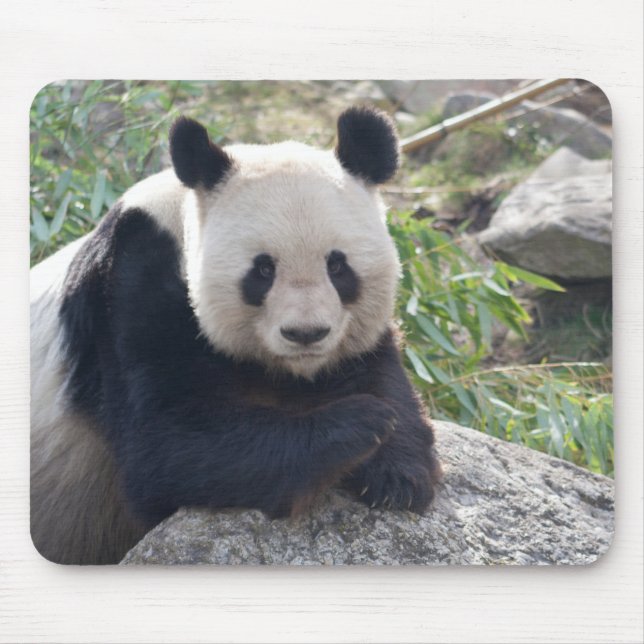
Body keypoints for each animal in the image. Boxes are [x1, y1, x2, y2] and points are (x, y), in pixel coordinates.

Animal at [30, 106, 442, 565]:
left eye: (338, 266)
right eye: (263, 269)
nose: (306, 333)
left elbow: (373, 367)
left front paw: (398, 472)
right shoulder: (126, 289)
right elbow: (169, 446)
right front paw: (363, 421)